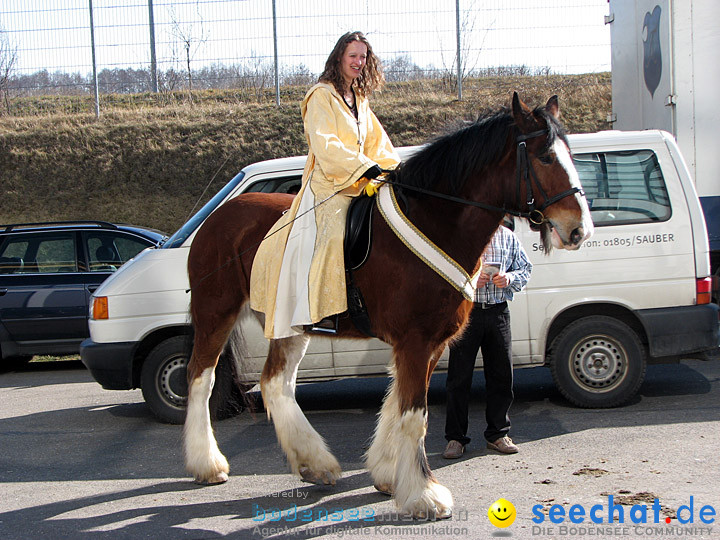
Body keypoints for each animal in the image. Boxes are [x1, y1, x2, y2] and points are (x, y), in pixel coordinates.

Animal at [180, 93, 592, 520]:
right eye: (546, 156)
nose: (579, 229)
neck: (435, 220)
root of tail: (213, 218)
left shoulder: (430, 343)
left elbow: (397, 405)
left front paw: (388, 474)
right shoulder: (415, 341)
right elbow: (414, 416)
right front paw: (423, 495)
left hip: (289, 325)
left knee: (275, 383)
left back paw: (314, 463)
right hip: (216, 314)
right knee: (201, 377)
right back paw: (207, 464)